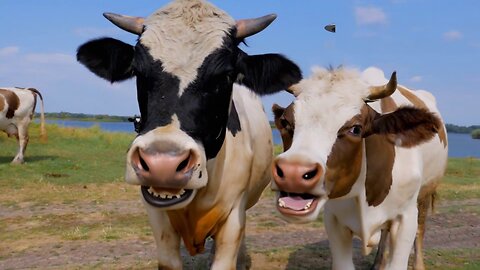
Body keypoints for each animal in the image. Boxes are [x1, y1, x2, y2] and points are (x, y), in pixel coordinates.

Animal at [270, 66, 446, 270]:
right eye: (286, 122)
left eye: (355, 129)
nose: (293, 172)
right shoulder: (333, 219)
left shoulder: (406, 218)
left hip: (425, 194)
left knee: (420, 230)